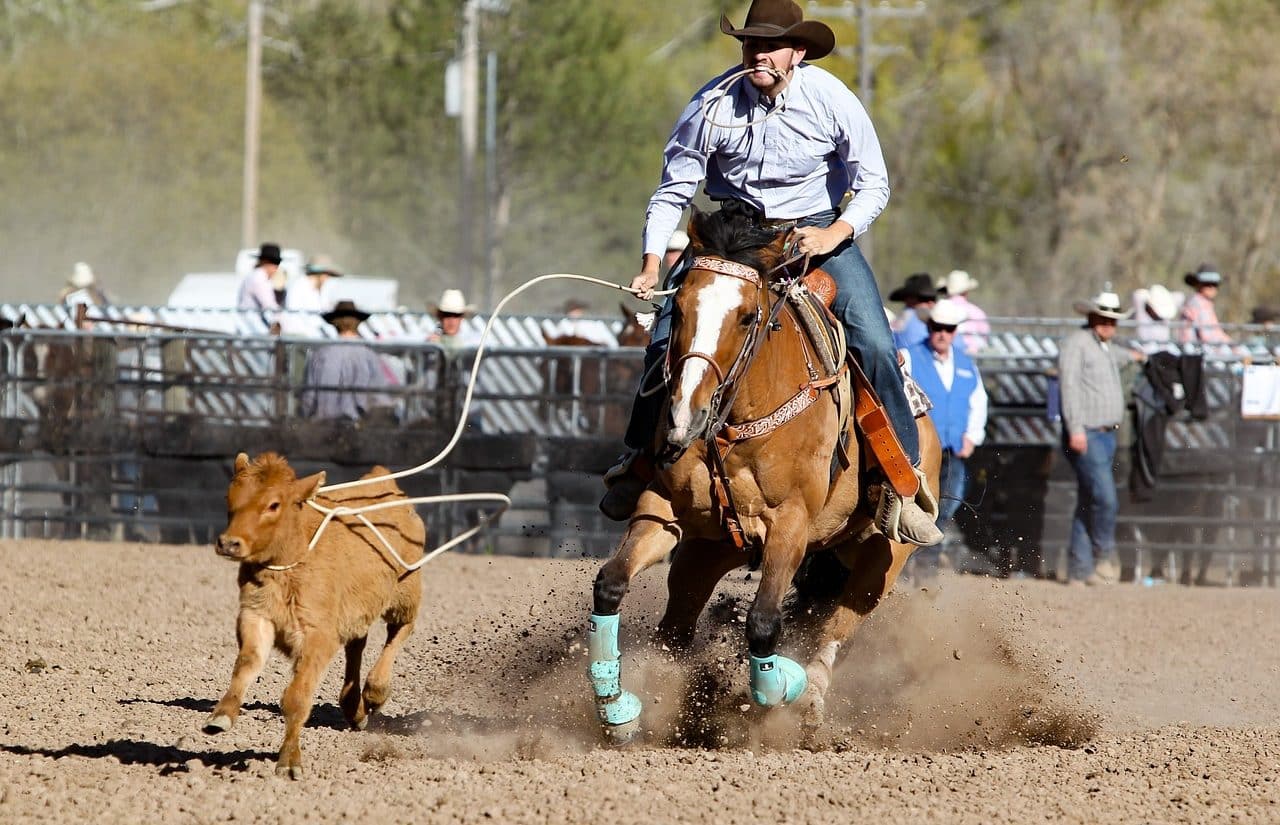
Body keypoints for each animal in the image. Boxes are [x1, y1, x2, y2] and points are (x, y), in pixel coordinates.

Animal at [203, 452, 424, 777]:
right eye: (229, 496)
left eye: (274, 504)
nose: (229, 543)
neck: (294, 559)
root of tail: (383, 481)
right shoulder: (256, 616)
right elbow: (247, 664)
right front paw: (221, 715)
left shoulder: (318, 635)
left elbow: (296, 696)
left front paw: (289, 761)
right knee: (356, 645)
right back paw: (354, 708)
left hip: (405, 591)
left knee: (400, 630)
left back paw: (375, 690)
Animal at [586, 204, 942, 741]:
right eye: (680, 309)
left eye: (747, 315)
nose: (684, 417)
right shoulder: (662, 510)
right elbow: (610, 582)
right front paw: (617, 709)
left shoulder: (790, 526)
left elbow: (764, 623)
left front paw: (778, 690)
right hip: (708, 550)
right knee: (676, 627)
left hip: (884, 559)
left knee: (838, 626)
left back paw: (811, 700)